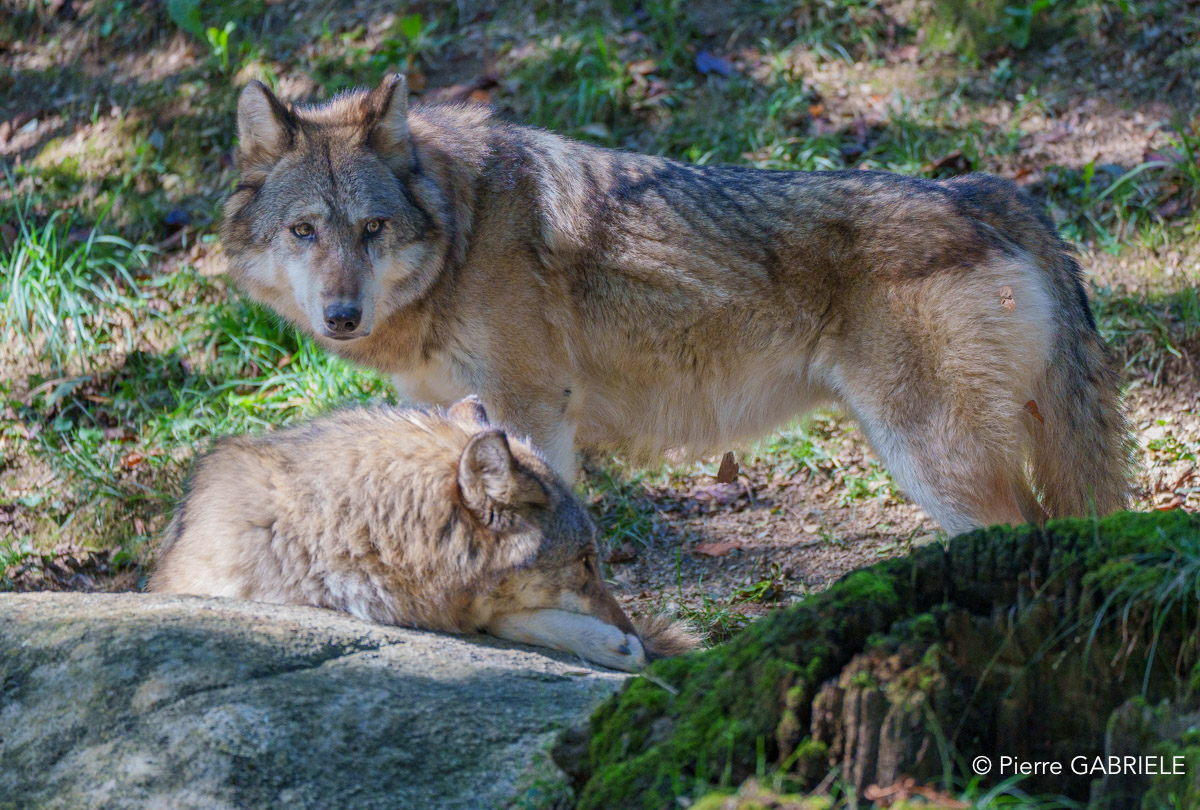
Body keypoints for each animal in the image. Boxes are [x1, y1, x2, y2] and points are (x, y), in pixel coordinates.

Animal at [220, 74, 1133, 536]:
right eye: (305, 231)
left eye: (371, 229)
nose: (342, 316)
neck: (465, 232)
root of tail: (983, 192)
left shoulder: (531, 411)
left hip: (931, 459)